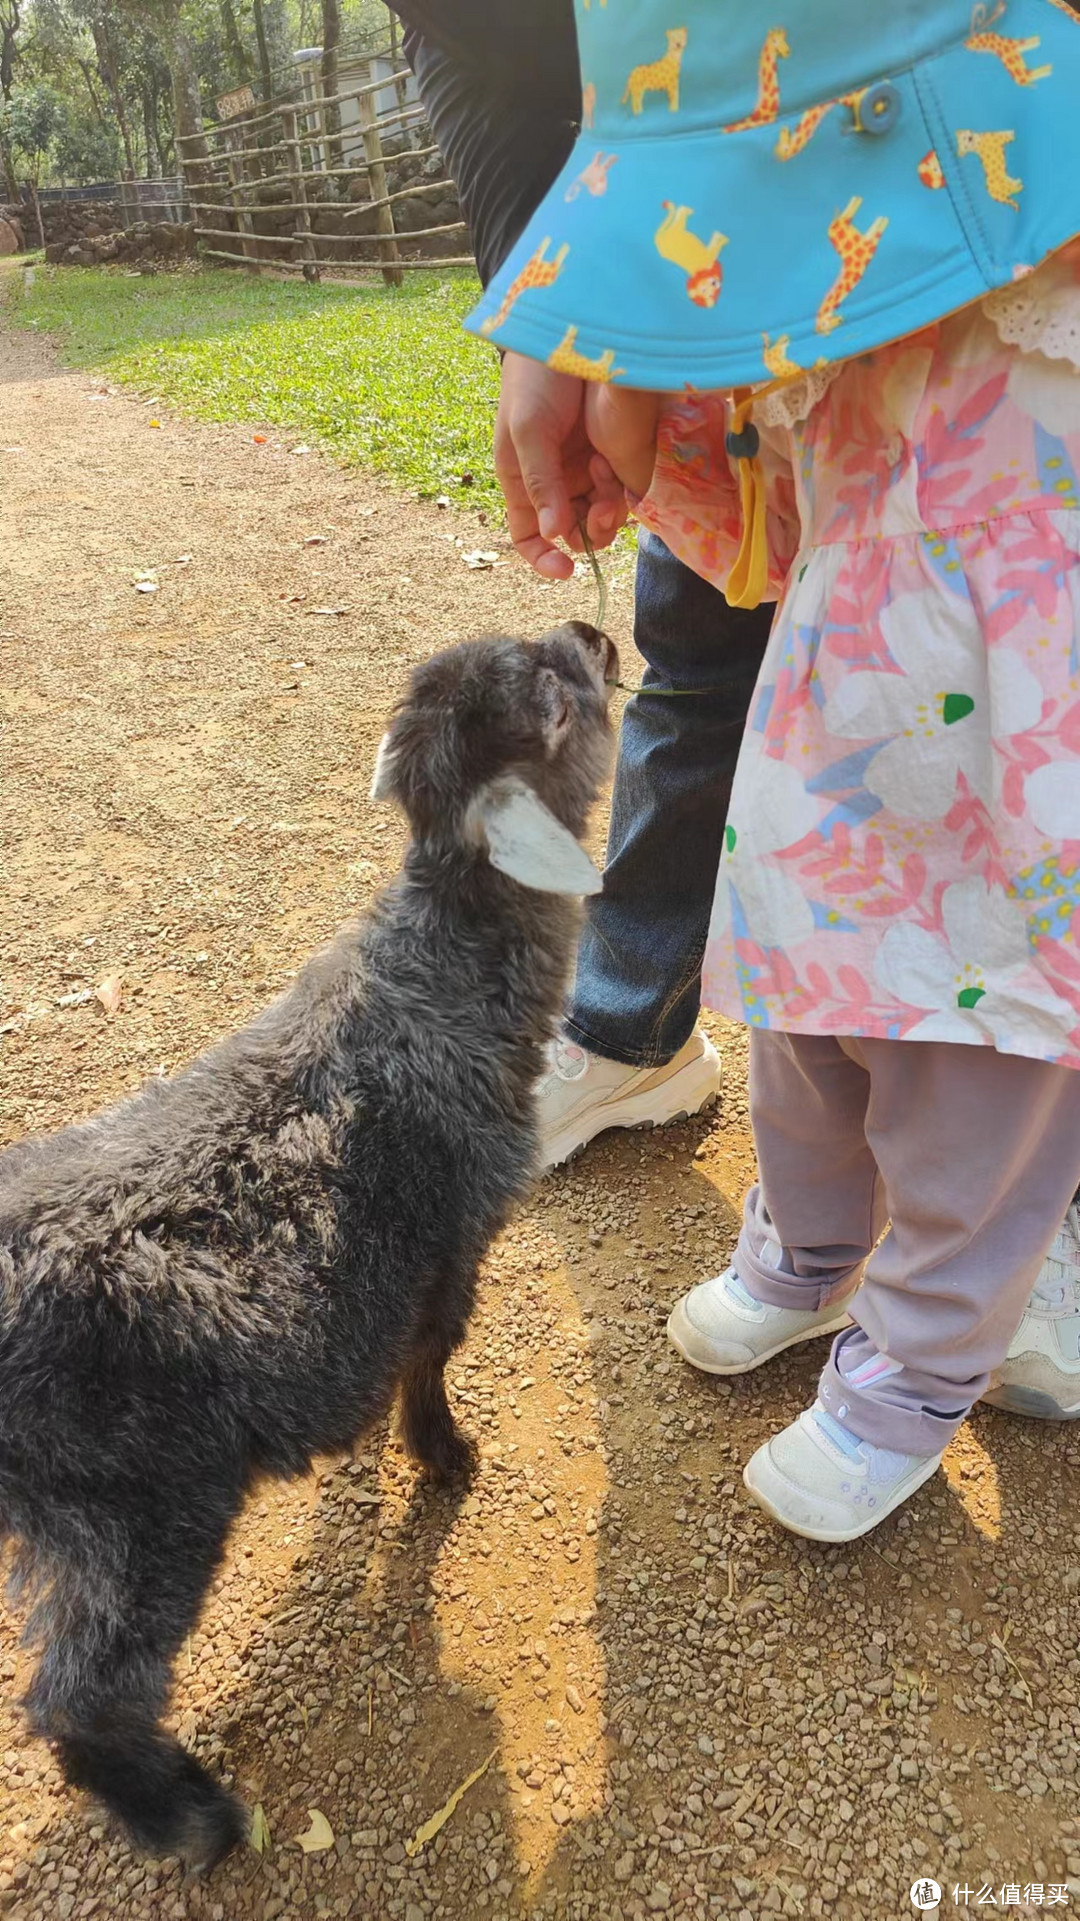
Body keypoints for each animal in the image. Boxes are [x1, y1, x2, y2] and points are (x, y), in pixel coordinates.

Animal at [0, 622, 614, 1867]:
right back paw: (190, 1817)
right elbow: (432, 1356)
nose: (599, 634)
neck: (441, 977)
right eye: (557, 695)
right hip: (134, 1502)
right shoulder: (455, 1238)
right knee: (81, 1695)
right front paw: (442, 1454)